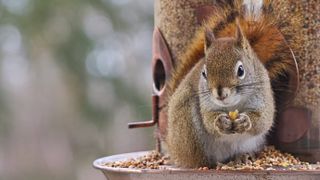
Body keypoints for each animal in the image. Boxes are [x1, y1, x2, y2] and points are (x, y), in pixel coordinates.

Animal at [165, 0, 300, 168]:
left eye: (241, 70)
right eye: (204, 73)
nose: (220, 93)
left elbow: (263, 120)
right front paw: (220, 122)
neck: (232, 105)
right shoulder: (206, 105)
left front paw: (246, 121)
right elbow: (209, 121)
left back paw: (241, 157)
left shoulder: (263, 98)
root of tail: (172, 145)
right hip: (189, 131)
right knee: (199, 159)